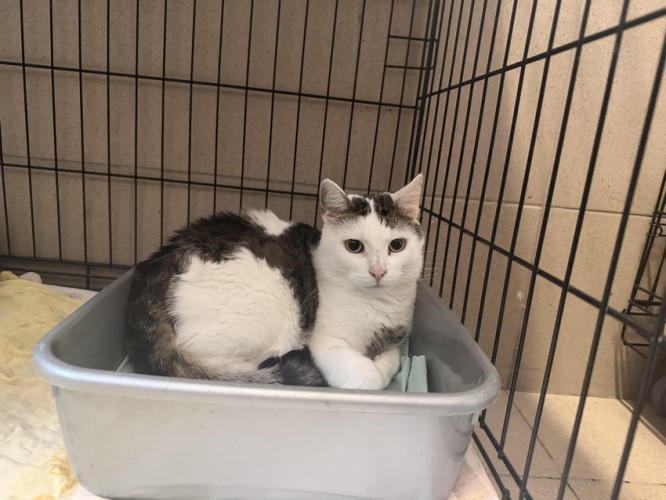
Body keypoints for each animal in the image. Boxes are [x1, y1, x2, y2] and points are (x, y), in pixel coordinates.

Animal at [125, 174, 424, 390]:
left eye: (397, 245)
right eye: (354, 246)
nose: (378, 271)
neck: (377, 307)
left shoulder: (398, 336)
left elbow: (394, 358)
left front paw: (385, 361)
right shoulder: (326, 342)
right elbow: (369, 379)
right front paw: (376, 371)